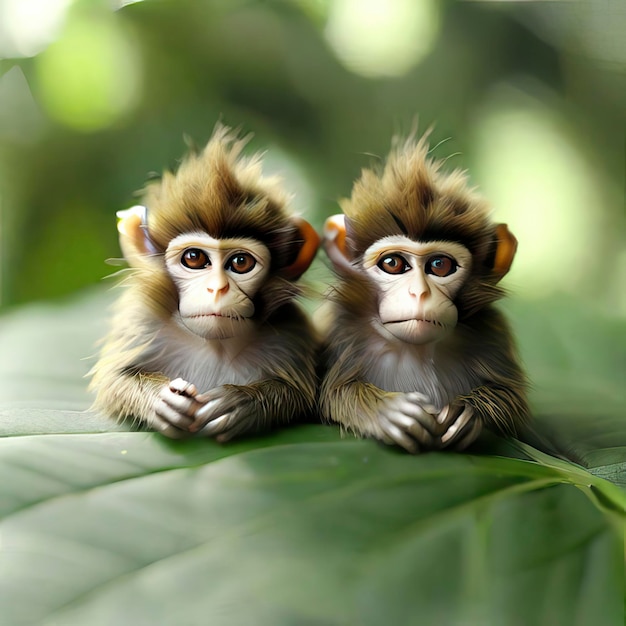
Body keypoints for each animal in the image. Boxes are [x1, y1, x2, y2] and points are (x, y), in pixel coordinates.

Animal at [89, 124, 320, 442]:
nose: (217, 288)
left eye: (240, 262)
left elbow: (302, 396)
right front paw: (162, 400)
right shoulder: (140, 322)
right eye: (194, 257)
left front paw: (243, 402)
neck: (214, 346)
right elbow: (113, 381)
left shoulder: (290, 333)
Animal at [316, 134, 528, 450]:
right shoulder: (341, 328)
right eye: (392, 263)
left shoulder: (491, 333)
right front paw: (386, 411)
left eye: (440, 265)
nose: (419, 293)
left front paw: (470, 411)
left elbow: (512, 401)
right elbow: (331, 394)